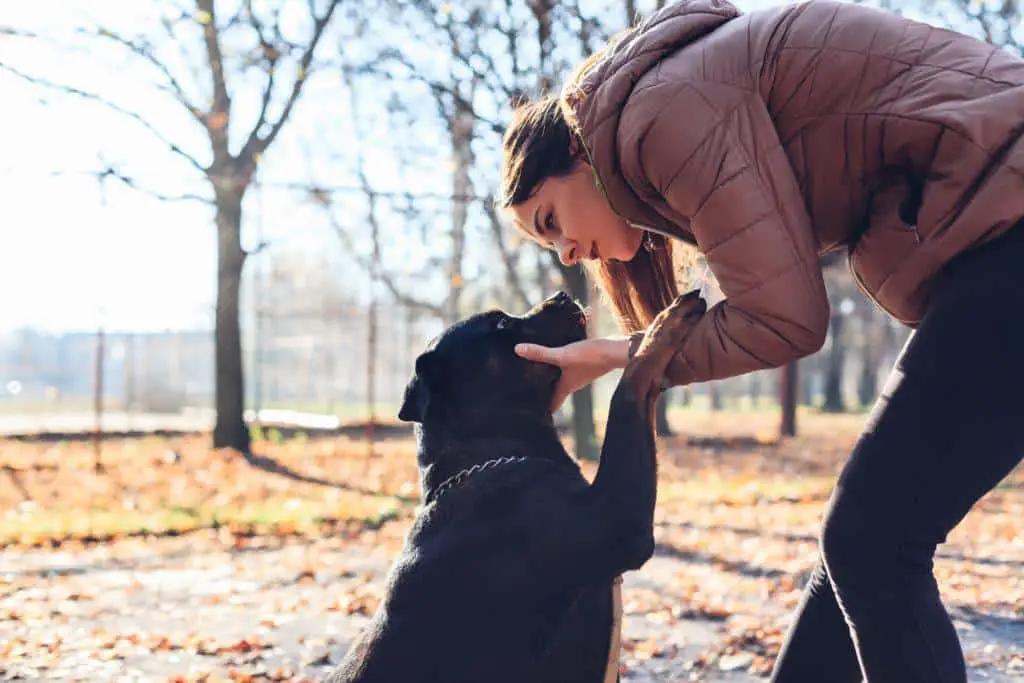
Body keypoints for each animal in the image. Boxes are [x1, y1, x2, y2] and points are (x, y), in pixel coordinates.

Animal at [327, 290, 704, 683]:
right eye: (501, 323)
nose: (561, 294)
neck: (490, 454)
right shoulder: (618, 519)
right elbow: (628, 388)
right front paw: (663, 324)